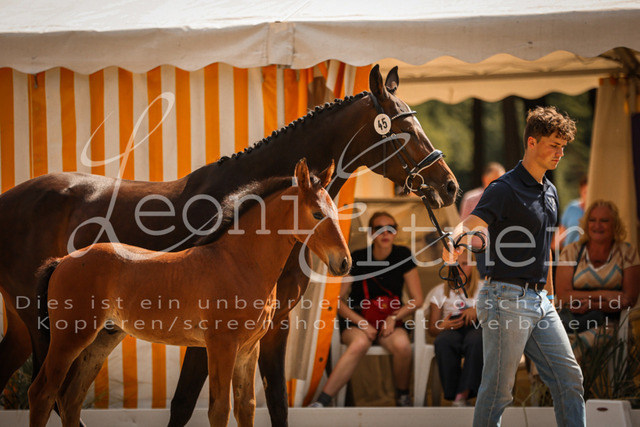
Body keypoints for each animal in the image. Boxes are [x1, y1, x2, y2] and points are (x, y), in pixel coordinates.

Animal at [29, 159, 350, 427]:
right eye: (317, 213)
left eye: (336, 211)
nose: (344, 262)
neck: (238, 262)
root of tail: (62, 261)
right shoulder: (222, 345)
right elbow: (219, 409)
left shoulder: (249, 349)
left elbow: (245, 407)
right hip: (70, 337)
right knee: (42, 392)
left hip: (100, 340)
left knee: (70, 399)